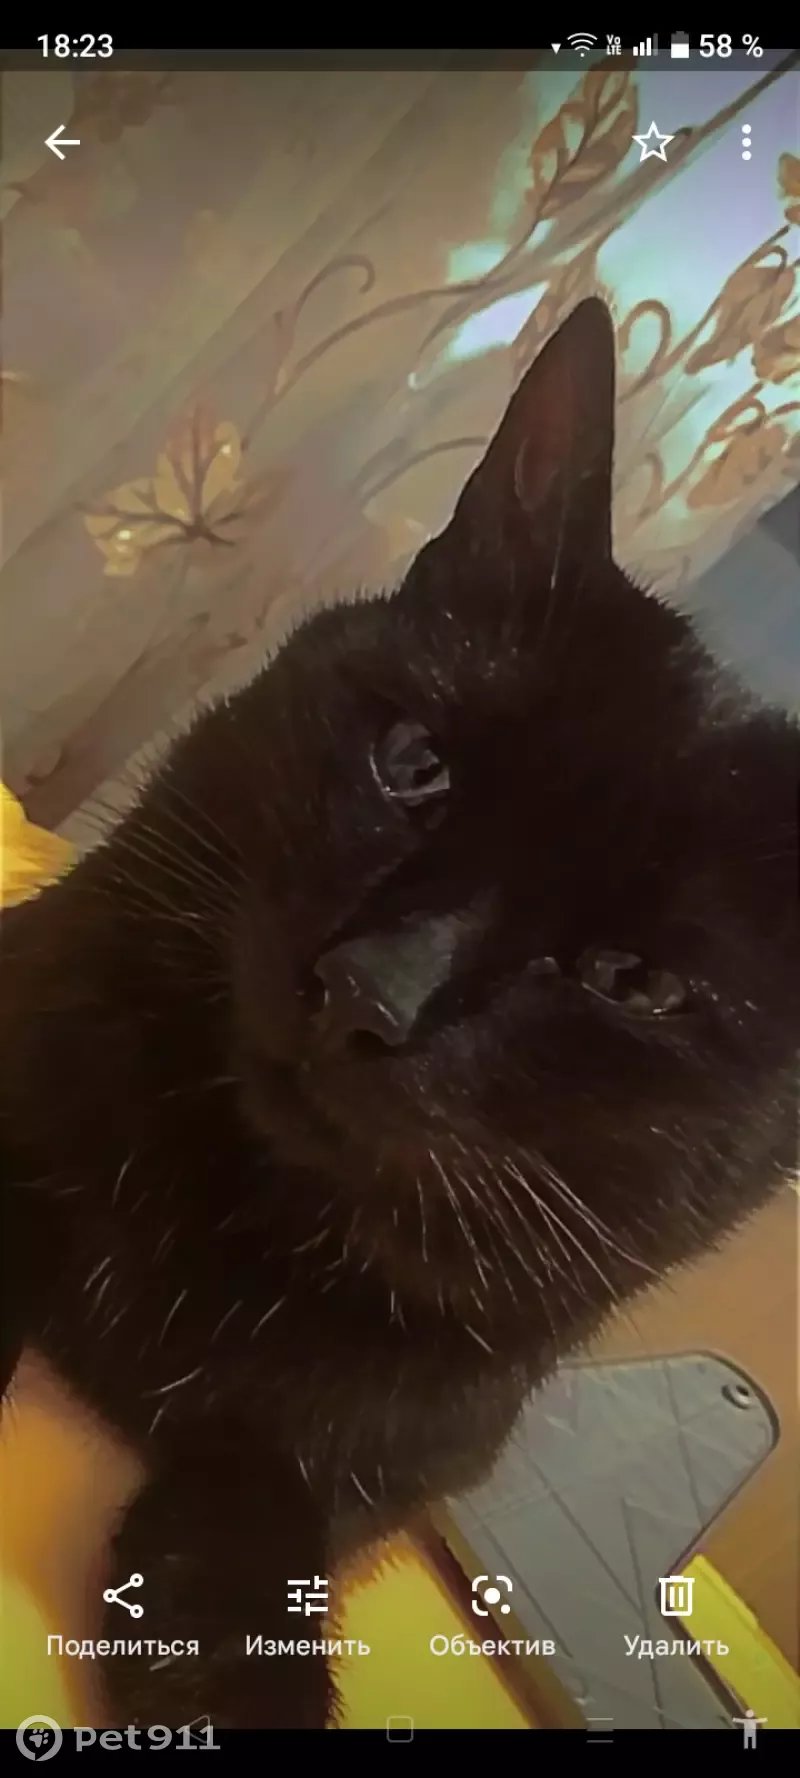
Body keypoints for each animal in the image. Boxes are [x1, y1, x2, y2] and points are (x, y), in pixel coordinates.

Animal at [0, 299, 797, 1730]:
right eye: (414, 764)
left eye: (631, 980)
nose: (376, 988)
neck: (239, 1220)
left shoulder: (372, 1455)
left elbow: (258, 1567)